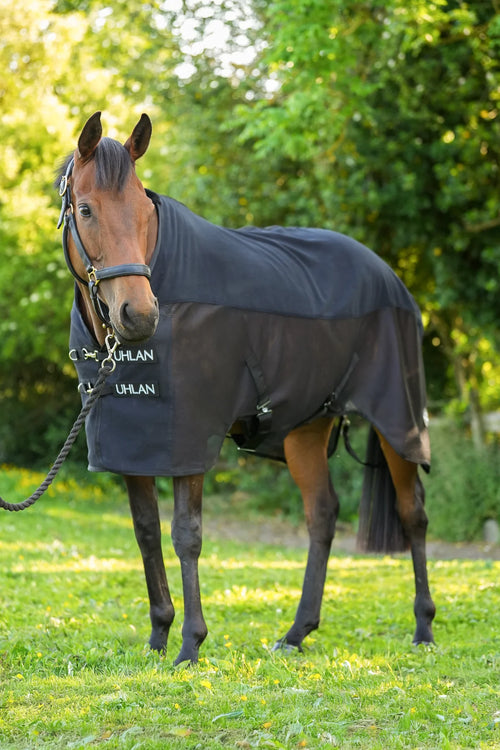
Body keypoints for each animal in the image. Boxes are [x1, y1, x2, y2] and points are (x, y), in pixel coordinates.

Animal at [56, 111, 435, 665]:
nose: (139, 315)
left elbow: (186, 535)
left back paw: (424, 627)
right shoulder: (131, 444)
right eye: (85, 209)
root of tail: (387, 274)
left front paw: (190, 645)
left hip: (397, 420)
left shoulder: (189, 439)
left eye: (145, 210)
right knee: (322, 514)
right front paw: (158, 635)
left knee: (413, 514)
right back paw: (297, 632)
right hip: (305, 427)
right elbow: (146, 533)